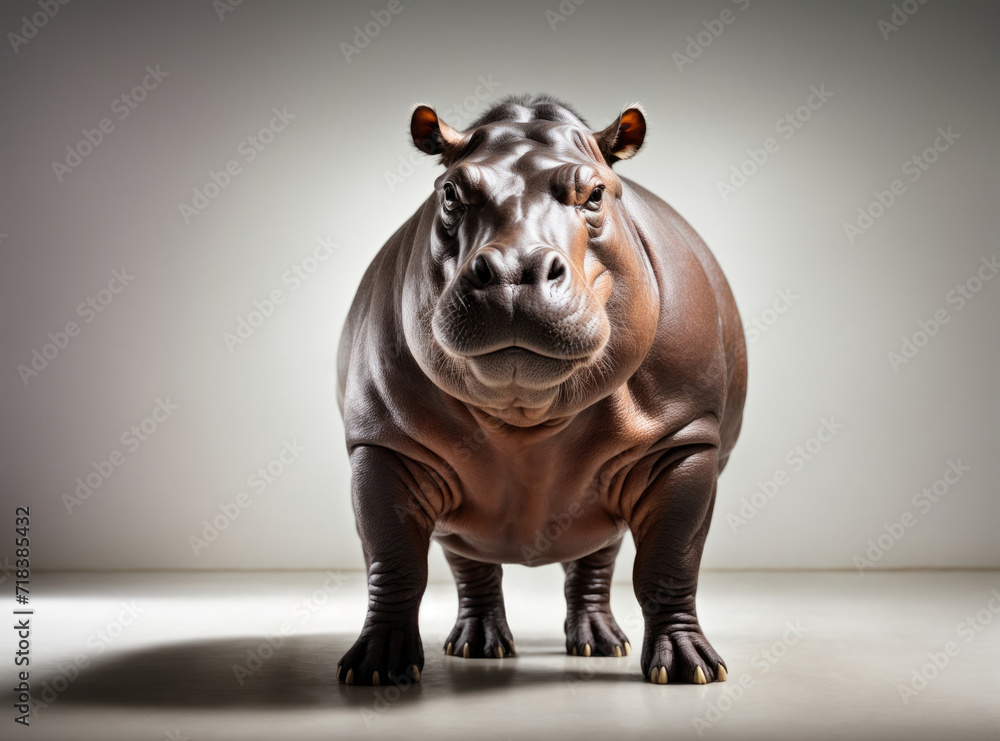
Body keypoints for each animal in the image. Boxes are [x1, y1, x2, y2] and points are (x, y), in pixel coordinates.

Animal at [336, 94, 746, 687]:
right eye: (450, 192)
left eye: (596, 193)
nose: (513, 269)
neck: (526, 417)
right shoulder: (383, 442)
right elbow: (392, 561)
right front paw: (376, 669)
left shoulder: (684, 439)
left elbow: (671, 560)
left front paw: (692, 670)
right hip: (456, 513)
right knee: (469, 560)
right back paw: (479, 648)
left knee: (597, 557)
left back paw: (601, 646)